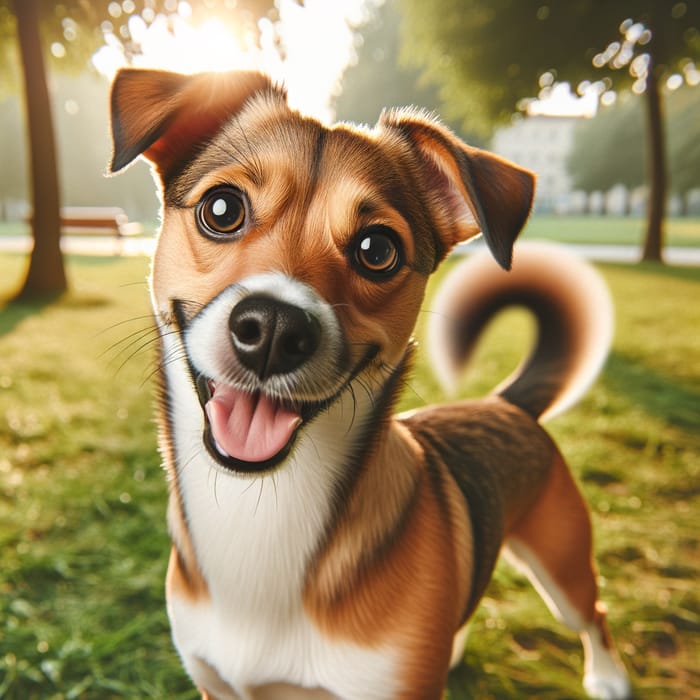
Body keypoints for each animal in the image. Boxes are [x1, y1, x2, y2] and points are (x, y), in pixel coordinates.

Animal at [109, 67, 636, 700]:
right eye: (221, 208)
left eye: (377, 249)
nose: (275, 329)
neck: (261, 508)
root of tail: (505, 404)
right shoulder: (217, 686)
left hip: (563, 569)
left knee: (594, 614)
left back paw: (608, 676)